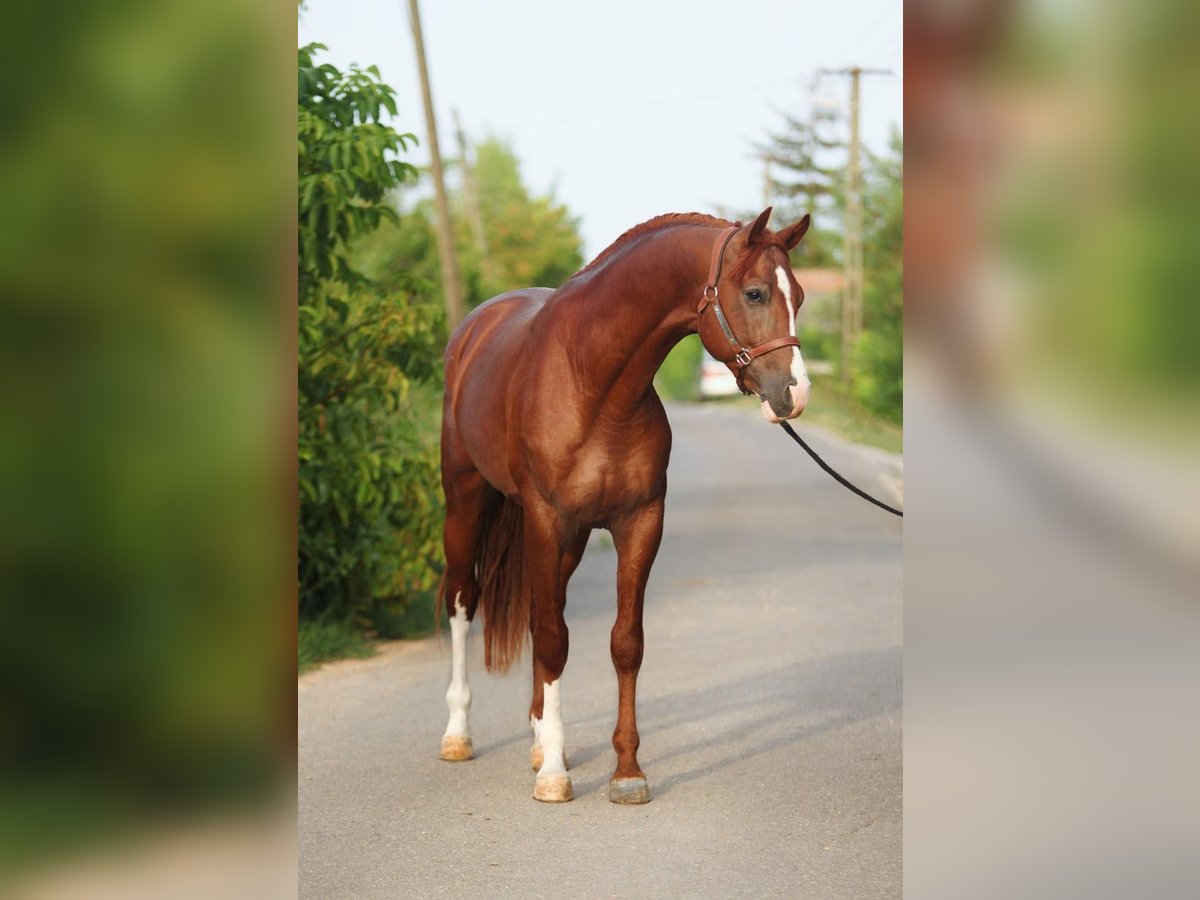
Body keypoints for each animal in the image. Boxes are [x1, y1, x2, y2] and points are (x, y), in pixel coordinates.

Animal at [436, 207, 811, 806]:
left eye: (797, 295)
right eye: (754, 293)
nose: (794, 395)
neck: (594, 383)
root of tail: (472, 330)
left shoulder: (639, 522)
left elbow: (623, 643)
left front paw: (627, 772)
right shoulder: (547, 518)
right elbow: (554, 640)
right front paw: (554, 777)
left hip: (569, 542)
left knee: (543, 611)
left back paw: (539, 739)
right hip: (467, 500)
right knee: (462, 600)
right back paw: (459, 735)